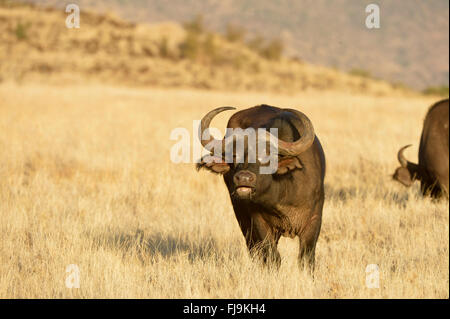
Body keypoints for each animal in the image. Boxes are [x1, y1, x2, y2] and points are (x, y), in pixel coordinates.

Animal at [195, 105, 326, 270]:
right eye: (235, 156)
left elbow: (306, 259)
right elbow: (272, 256)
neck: (283, 195)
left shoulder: (314, 220)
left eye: (266, 156)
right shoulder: (258, 221)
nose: (244, 178)